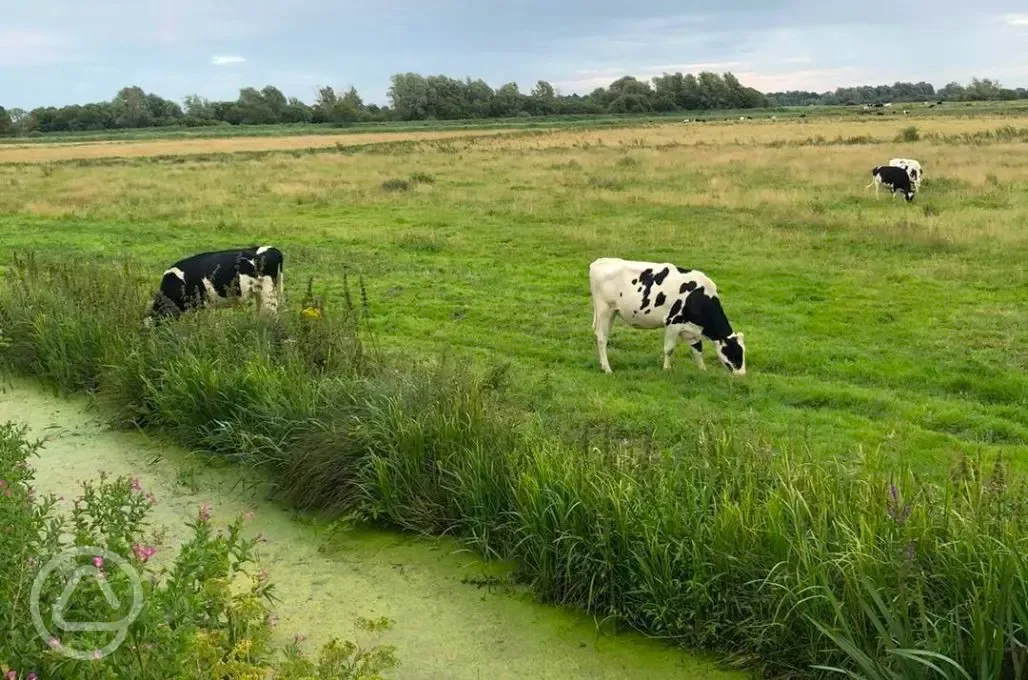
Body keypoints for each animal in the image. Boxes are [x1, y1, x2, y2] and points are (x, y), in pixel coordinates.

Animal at [588, 258, 748, 376]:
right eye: (735, 352)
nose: (742, 374)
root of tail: (598, 262)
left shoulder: (691, 330)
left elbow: (697, 350)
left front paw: (703, 370)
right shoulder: (673, 323)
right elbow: (669, 349)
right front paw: (666, 369)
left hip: (610, 312)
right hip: (605, 310)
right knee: (602, 338)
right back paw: (607, 369)